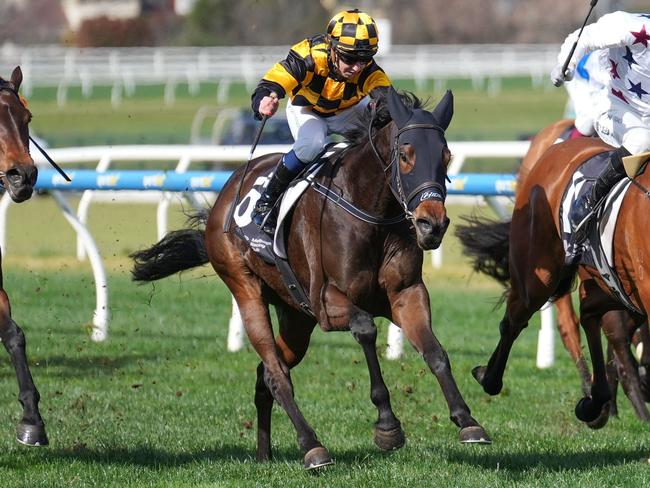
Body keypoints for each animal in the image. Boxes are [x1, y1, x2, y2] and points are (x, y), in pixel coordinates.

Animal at [130, 89, 486, 470]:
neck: (371, 210)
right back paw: (312, 447)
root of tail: (226, 193)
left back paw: (264, 454)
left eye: (446, 157)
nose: (431, 225)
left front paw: (467, 420)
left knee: (265, 374)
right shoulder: (327, 302)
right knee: (276, 374)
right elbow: (366, 329)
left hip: (296, 317)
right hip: (246, 288)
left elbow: (435, 352)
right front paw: (387, 425)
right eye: (405, 155)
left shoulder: (406, 293)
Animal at [456, 134, 648, 428]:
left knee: (589, 315)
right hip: (538, 275)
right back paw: (488, 377)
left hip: (612, 284)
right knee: (514, 321)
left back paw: (595, 402)